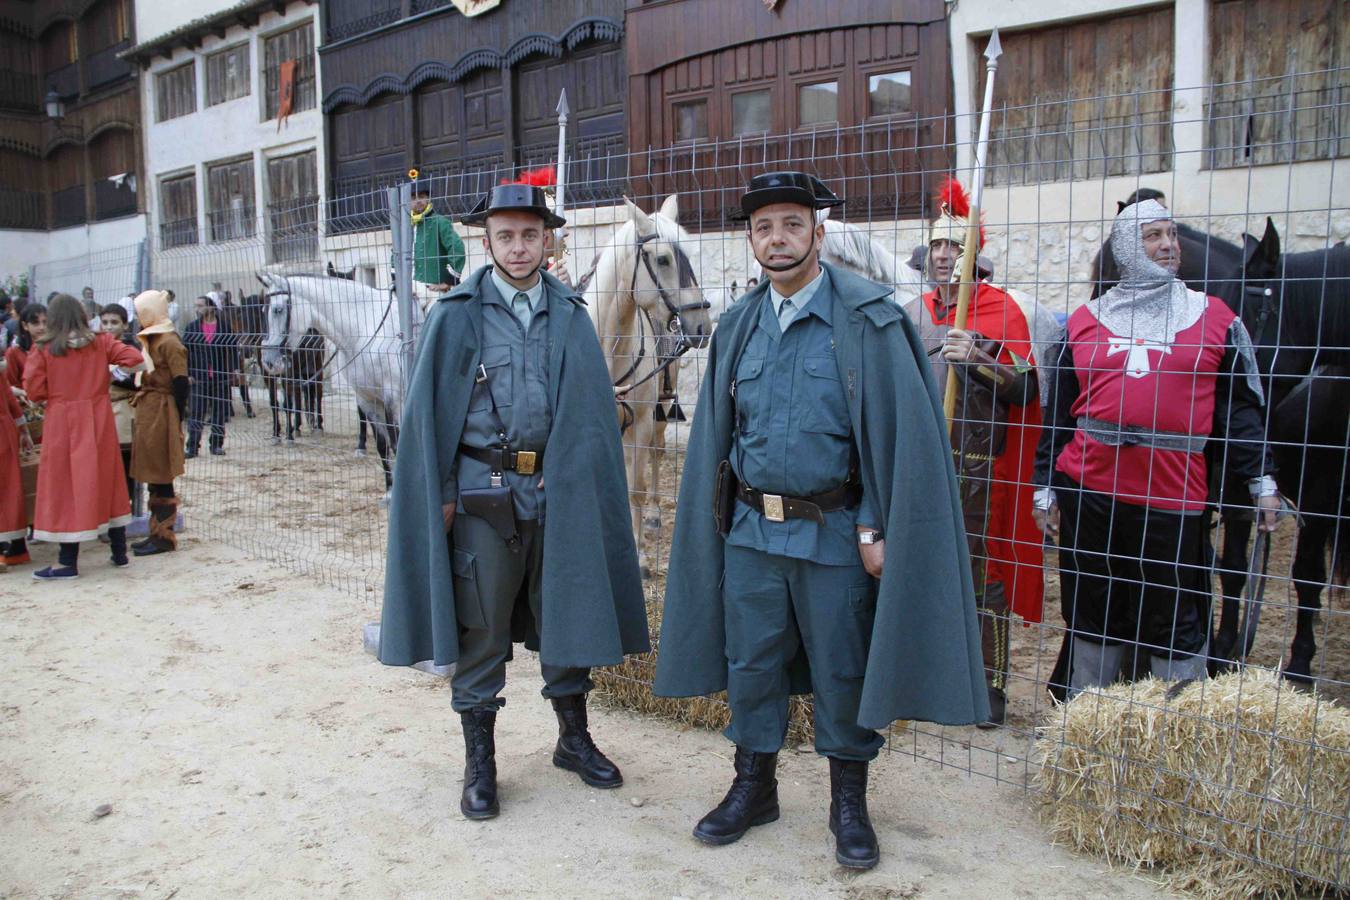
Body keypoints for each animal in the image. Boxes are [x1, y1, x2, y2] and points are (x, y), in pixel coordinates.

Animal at [257, 271, 410, 504]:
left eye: (278, 310)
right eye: (263, 311)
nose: (269, 361)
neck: (368, 330)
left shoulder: (394, 400)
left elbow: (397, 443)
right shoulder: (368, 399)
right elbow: (383, 446)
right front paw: (390, 492)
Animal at [588, 195, 723, 577]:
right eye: (662, 259)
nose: (701, 326)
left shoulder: (642, 422)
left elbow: (635, 487)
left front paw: (640, 558)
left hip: (660, 412)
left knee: (656, 455)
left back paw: (652, 516)